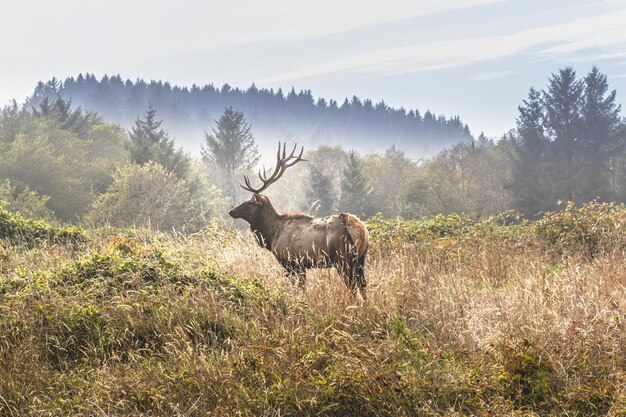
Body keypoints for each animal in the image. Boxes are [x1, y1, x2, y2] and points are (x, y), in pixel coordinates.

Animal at [228, 142, 366, 296]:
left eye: (249, 203)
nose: (232, 211)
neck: (272, 234)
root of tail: (360, 230)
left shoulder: (289, 262)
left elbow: (295, 288)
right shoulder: (301, 265)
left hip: (343, 258)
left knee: (352, 286)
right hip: (360, 258)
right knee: (363, 285)